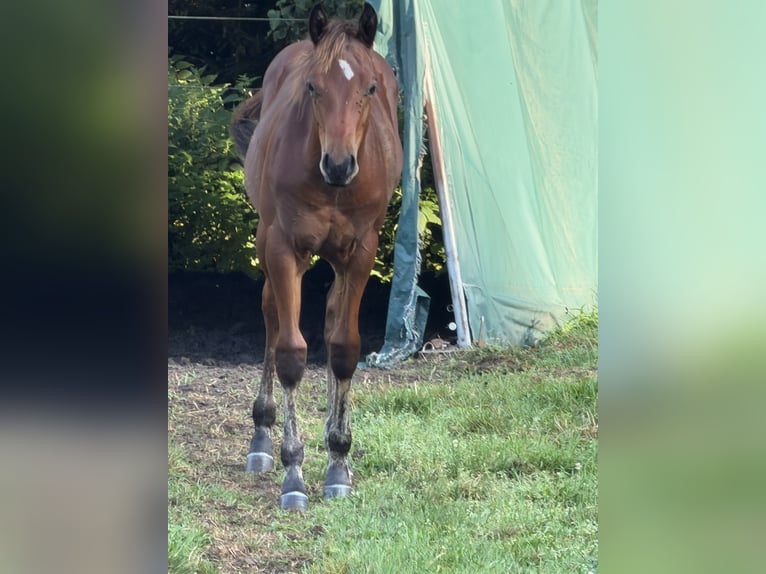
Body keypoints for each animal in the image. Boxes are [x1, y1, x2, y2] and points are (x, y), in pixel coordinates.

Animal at [230, 2, 403, 511]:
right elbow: (290, 353)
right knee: (272, 317)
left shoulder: (361, 252)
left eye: (370, 87)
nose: (340, 164)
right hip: (268, 242)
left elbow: (344, 348)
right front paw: (293, 472)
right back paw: (262, 437)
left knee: (328, 321)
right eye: (312, 87)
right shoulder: (284, 248)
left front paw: (338, 461)